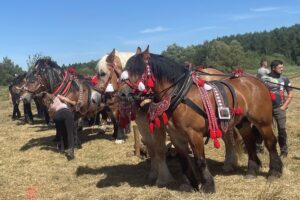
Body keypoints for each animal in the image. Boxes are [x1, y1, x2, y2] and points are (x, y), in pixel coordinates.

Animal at [118, 46, 282, 193]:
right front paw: (188, 185)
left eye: (138, 70)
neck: (180, 95)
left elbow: (200, 160)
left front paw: (208, 185)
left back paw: (274, 172)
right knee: (249, 142)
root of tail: (257, 81)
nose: (122, 94)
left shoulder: (194, 134)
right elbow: (184, 161)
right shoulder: (176, 136)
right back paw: (251, 171)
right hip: (243, 122)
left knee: (270, 142)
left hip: (263, 122)